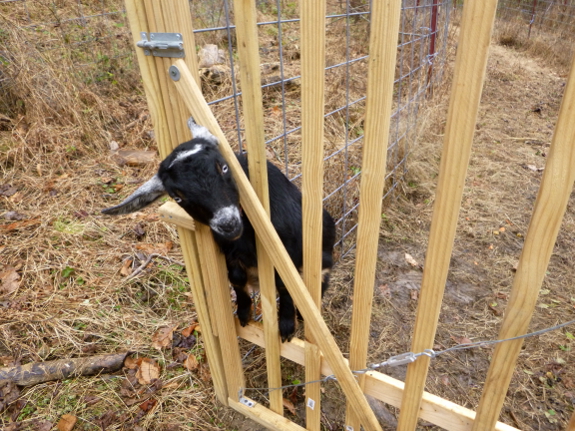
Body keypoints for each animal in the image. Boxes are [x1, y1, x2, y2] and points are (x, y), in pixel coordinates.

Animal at [103, 118, 338, 340]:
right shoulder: (230, 254)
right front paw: (243, 313)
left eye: (224, 167)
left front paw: (287, 326)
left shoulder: (289, 253)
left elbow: (285, 285)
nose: (228, 223)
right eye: (177, 197)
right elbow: (236, 278)